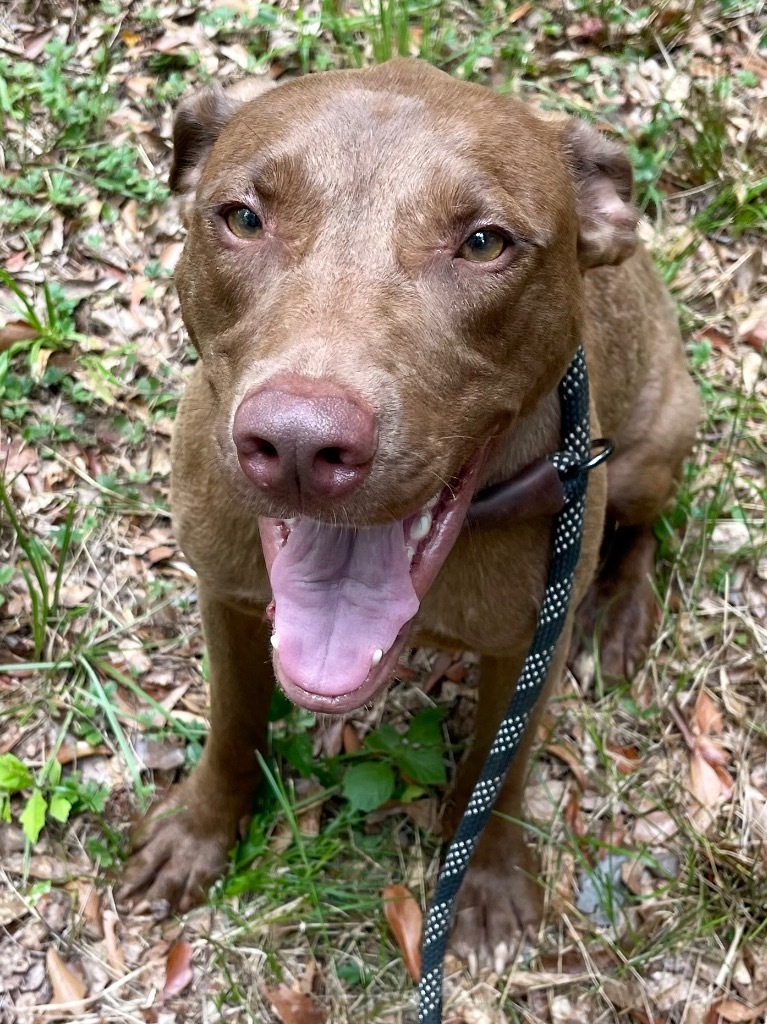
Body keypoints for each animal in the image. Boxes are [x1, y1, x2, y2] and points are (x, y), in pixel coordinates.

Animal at [121, 58, 700, 966]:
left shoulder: (525, 647)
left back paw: (617, 616)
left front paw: (487, 882)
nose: (298, 444)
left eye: (483, 242)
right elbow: (232, 719)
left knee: (640, 528)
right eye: (243, 218)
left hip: (650, 445)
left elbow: (500, 770)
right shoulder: (227, 595)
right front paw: (199, 832)